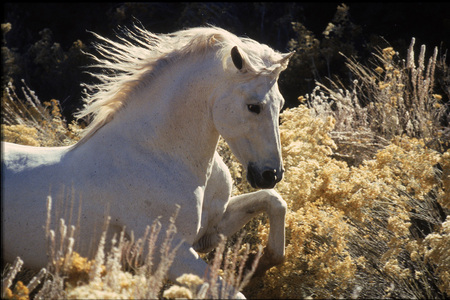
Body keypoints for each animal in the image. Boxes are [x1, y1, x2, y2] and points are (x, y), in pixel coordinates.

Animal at [2, 24, 292, 296]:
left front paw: (260, 263)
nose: (271, 174)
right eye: (253, 106)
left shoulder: (210, 229)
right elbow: (232, 293)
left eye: (280, 103)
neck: (158, 156)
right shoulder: (170, 252)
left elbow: (274, 202)